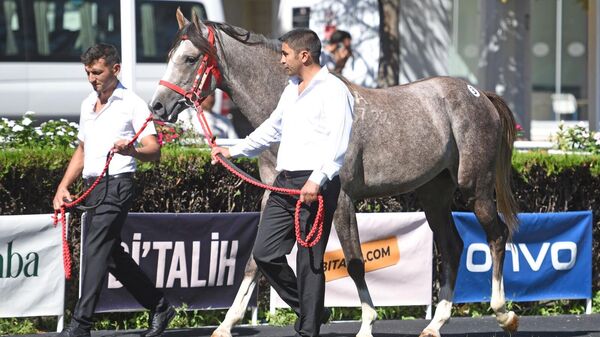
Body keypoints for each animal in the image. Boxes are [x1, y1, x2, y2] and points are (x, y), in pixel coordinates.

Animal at [150, 8, 520, 336]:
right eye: (170, 53)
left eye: (190, 58)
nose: (157, 106)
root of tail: (478, 95)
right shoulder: (274, 195)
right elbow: (256, 258)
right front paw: (226, 324)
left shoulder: (341, 198)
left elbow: (354, 261)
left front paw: (367, 324)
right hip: (434, 194)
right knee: (452, 246)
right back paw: (435, 324)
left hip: (475, 187)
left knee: (497, 235)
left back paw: (503, 313)